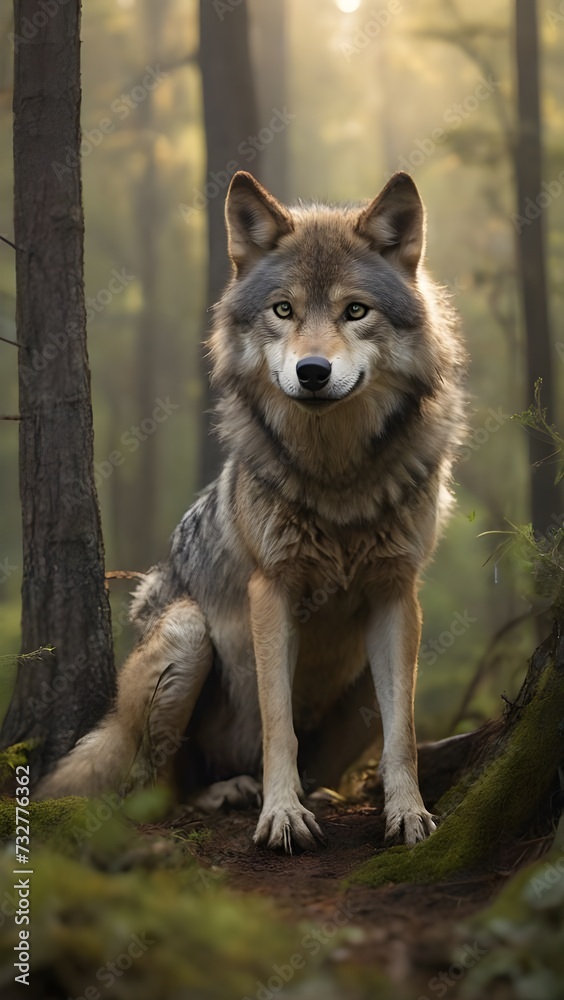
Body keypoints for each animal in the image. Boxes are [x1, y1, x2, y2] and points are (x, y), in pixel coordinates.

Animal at [38, 170, 466, 852]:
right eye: (283, 310)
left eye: (355, 310)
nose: (312, 371)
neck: (337, 478)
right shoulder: (273, 591)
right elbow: (277, 719)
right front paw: (281, 815)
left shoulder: (398, 594)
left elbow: (403, 733)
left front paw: (407, 814)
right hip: (185, 638)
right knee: (153, 784)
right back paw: (228, 791)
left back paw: (315, 791)